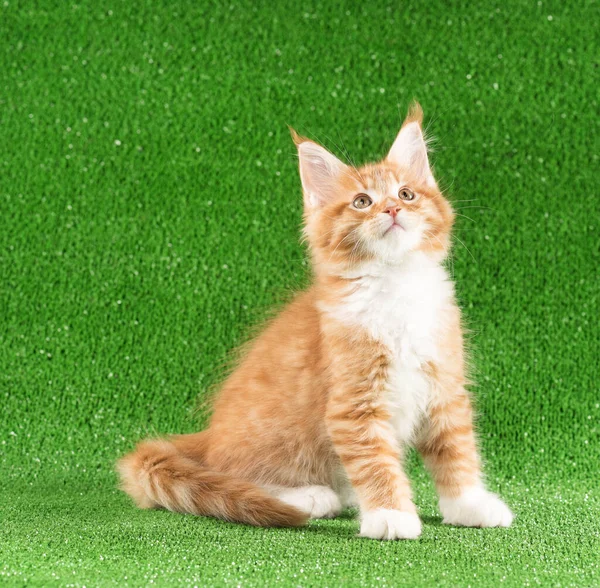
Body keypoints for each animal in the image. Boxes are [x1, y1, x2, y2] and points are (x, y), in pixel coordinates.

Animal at [116, 104, 510, 536]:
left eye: (406, 194)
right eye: (361, 201)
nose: (392, 209)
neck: (395, 284)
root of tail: (208, 436)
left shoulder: (444, 387)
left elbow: (456, 451)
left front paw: (469, 505)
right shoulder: (353, 404)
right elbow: (375, 463)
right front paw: (391, 515)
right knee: (235, 475)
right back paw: (310, 496)